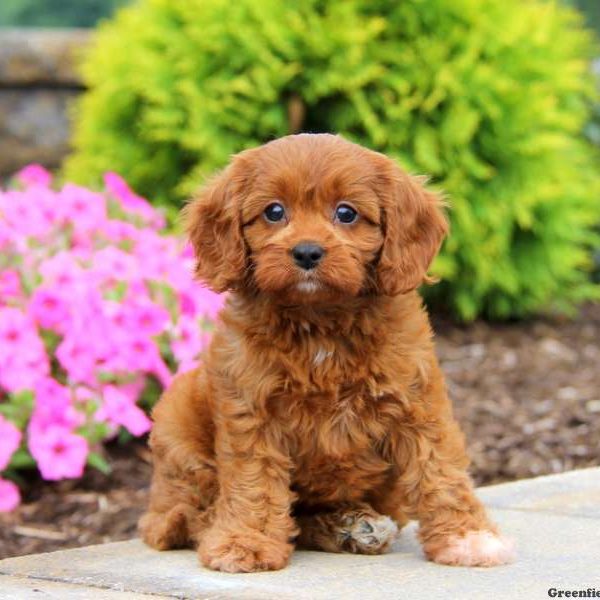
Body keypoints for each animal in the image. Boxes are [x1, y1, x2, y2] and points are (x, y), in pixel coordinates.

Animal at [138, 135, 512, 572]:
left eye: (346, 213)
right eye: (274, 211)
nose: (306, 252)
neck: (320, 323)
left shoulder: (418, 402)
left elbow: (439, 468)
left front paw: (466, 536)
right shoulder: (250, 409)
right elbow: (253, 480)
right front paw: (245, 541)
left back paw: (352, 526)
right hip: (177, 414)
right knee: (189, 515)